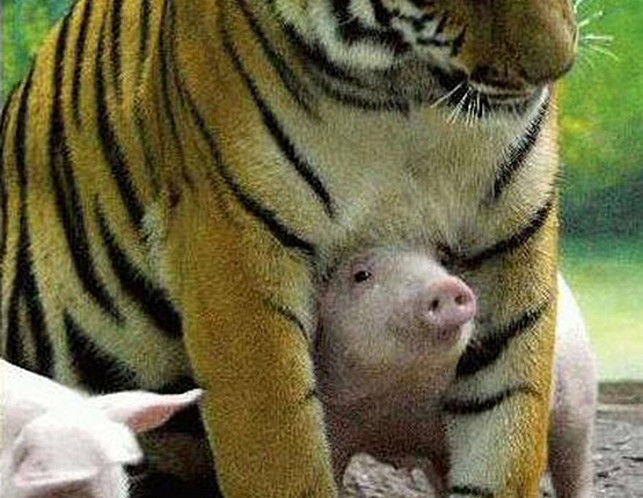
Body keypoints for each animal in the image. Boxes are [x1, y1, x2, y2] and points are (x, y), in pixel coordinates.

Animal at [0, 0, 577, 497]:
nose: (557, 69)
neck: (406, 99)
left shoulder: (513, 241)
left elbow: (505, 432)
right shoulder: (234, 244)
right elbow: (280, 450)